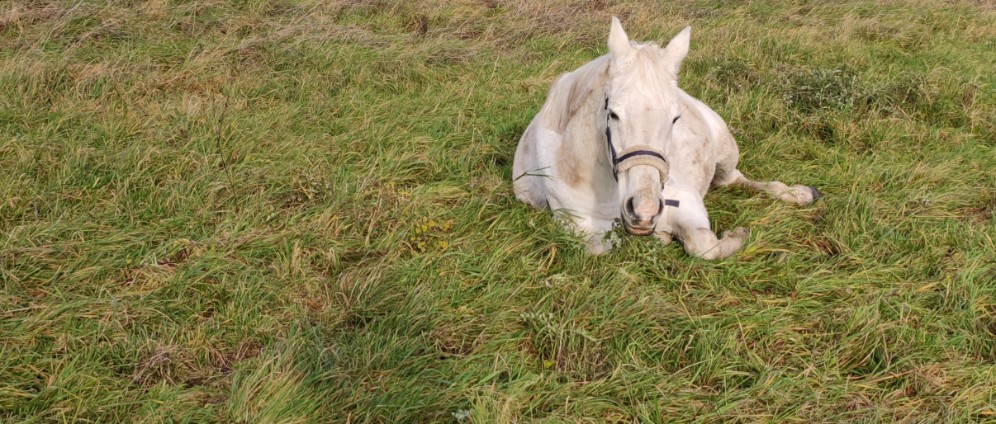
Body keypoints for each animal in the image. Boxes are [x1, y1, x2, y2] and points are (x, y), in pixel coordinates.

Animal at [512, 17, 821, 259]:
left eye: (675, 118)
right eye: (613, 113)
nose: (644, 211)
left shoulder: (686, 202)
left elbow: (705, 245)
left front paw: (738, 235)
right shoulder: (580, 228)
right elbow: (602, 246)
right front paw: (659, 237)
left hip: (726, 156)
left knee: (736, 179)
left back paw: (799, 194)